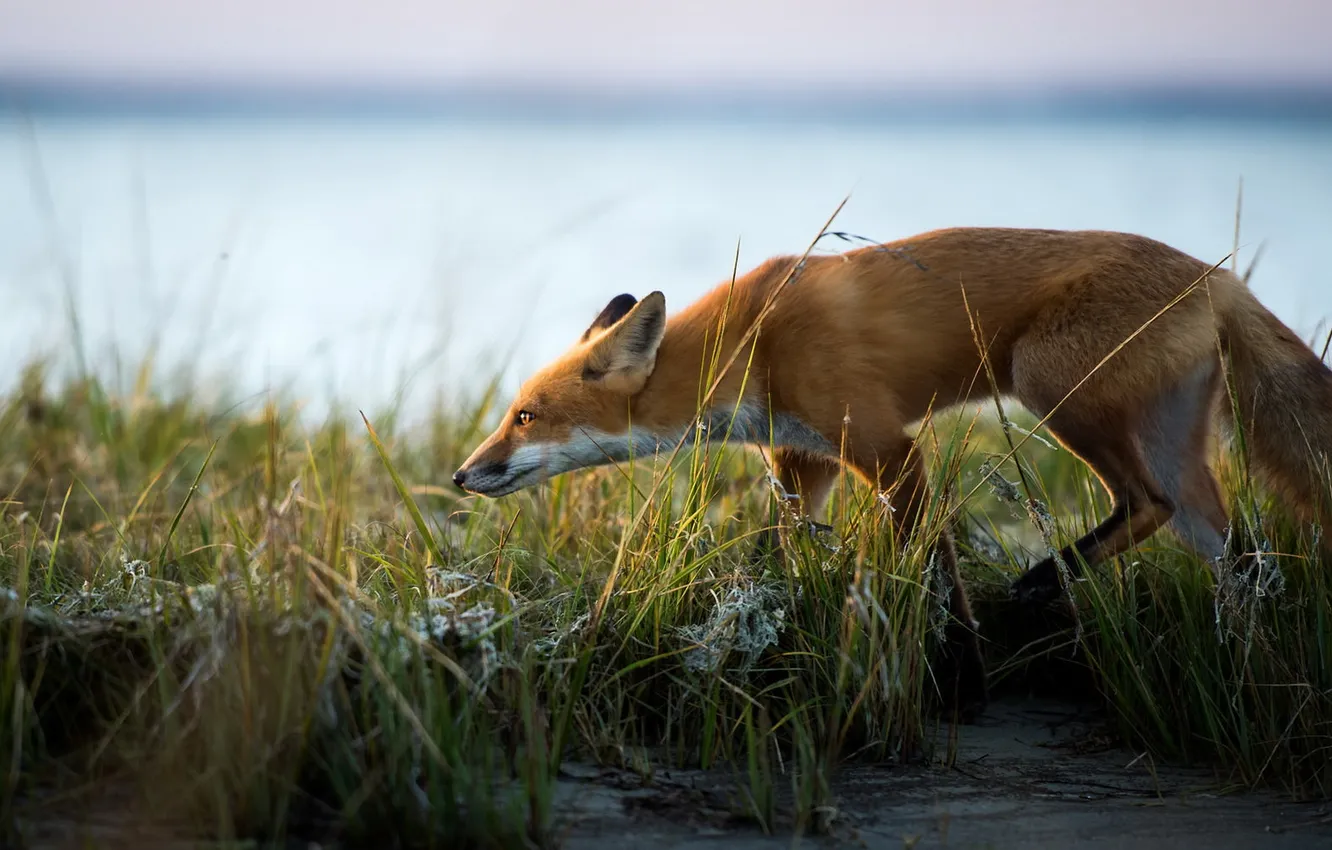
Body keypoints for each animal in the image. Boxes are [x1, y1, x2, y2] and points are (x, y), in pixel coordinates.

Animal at [453, 226, 1332, 715]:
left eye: (524, 416)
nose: (463, 474)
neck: (753, 339)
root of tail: (1217, 275)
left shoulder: (889, 450)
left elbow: (936, 573)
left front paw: (967, 685)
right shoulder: (803, 461)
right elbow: (778, 556)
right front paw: (757, 625)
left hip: (1051, 384)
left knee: (1147, 504)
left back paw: (1045, 580)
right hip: (1173, 446)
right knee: (1237, 555)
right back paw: (1246, 669)